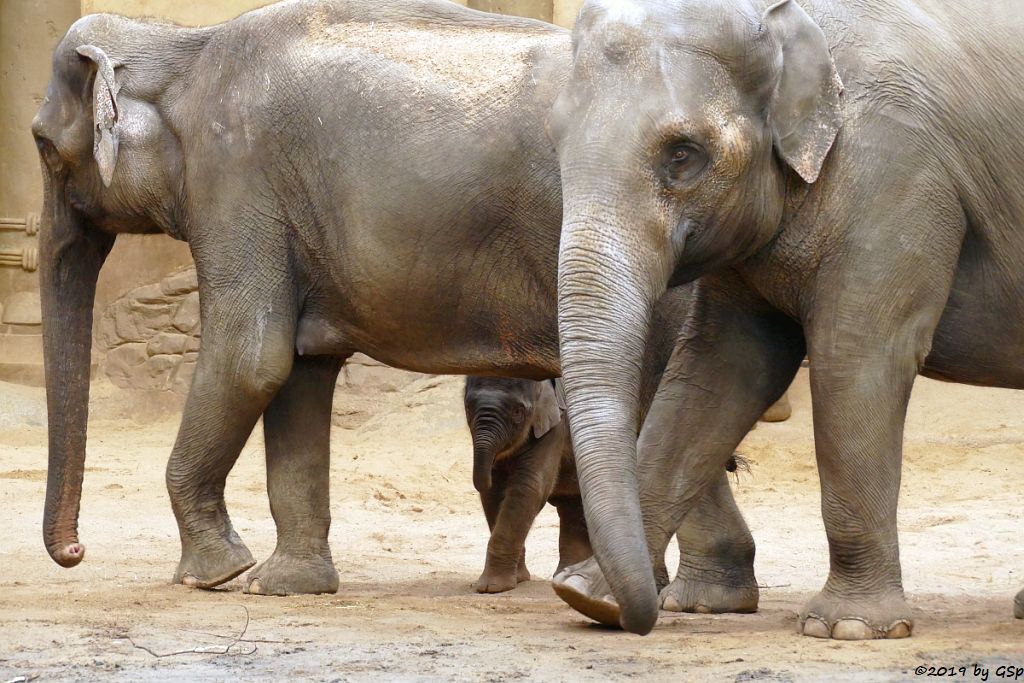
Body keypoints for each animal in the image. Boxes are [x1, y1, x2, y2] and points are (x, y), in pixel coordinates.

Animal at [462, 374, 589, 593]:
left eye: (517, 412)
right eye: (468, 408)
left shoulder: (555, 427)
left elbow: (528, 487)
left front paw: (492, 588)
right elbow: (495, 493)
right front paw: (518, 579)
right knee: (573, 508)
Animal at [548, 0, 1024, 643]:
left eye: (682, 156)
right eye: (555, 144)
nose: (643, 618)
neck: (780, 23)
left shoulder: (897, 177)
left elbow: (856, 359)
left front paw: (848, 629)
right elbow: (720, 368)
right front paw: (587, 598)